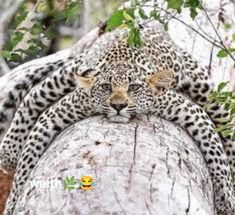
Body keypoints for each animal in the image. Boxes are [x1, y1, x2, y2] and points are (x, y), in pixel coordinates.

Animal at [0, 21, 234, 214]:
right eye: (106, 87)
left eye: (133, 88)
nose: (119, 106)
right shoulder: (60, 110)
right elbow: (26, 164)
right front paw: (12, 203)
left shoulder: (189, 109)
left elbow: (216, 155)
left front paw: (226, 198)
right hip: (70, 72)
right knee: (33, 95)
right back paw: (8, 152)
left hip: (203, 87)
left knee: (225, 124)